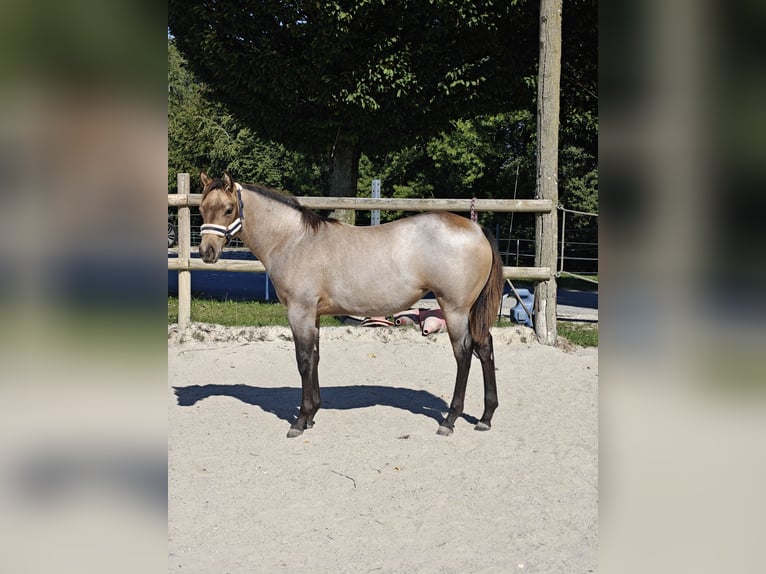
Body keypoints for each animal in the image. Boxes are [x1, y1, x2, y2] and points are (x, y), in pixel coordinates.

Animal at [198, 172, 504, 438]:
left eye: (228, 209)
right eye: (202, 208)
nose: (207, 252)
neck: (294, 241)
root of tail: (476, 228)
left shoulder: (299, 311)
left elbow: (303, 360)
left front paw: (300, 420)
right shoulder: (314, 315)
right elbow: (315, 358)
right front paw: (312, 415)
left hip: (455, 308)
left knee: (464, 354)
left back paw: (450, 420)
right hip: (470, 311)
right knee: (484, 347)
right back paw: (486, 417)